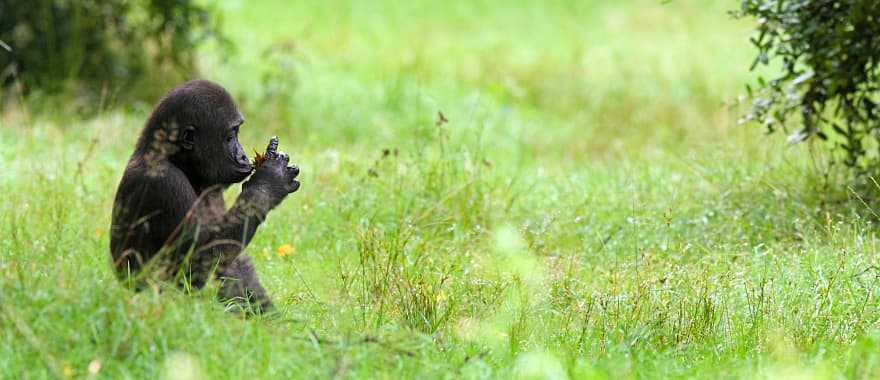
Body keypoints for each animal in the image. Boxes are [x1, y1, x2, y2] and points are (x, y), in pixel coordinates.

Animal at [109, 79, 300, 312]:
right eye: (230, 136)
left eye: (237, 134)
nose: (243, 155)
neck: (175, 159)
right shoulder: (166, 181)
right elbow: (201, 259)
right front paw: (270, 180)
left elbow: (234, 261)